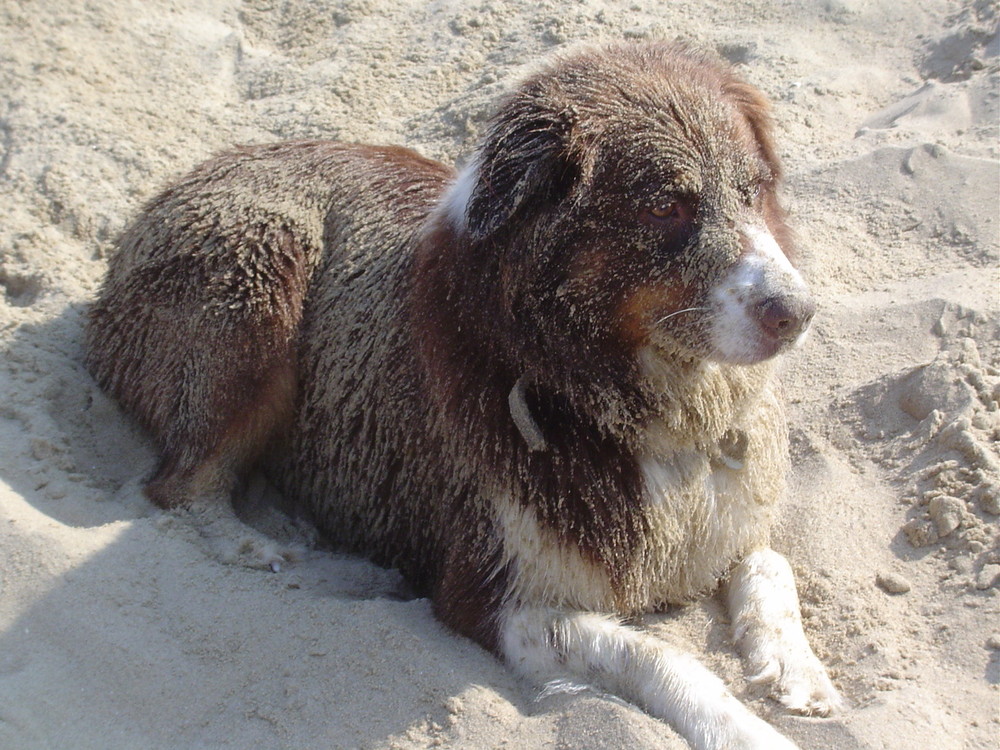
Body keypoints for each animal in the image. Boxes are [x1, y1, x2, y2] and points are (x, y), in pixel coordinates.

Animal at [86, 41, 840, 750]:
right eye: (664, 207)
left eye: (754, 190)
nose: (797, 313)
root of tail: (176, 185)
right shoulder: (488, 594)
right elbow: (661, 658)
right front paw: (747, 730)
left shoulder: (728, 519)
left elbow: (771, 565)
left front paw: (798, 671)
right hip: (258, 287)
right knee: (178, 483)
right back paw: (264, 543)